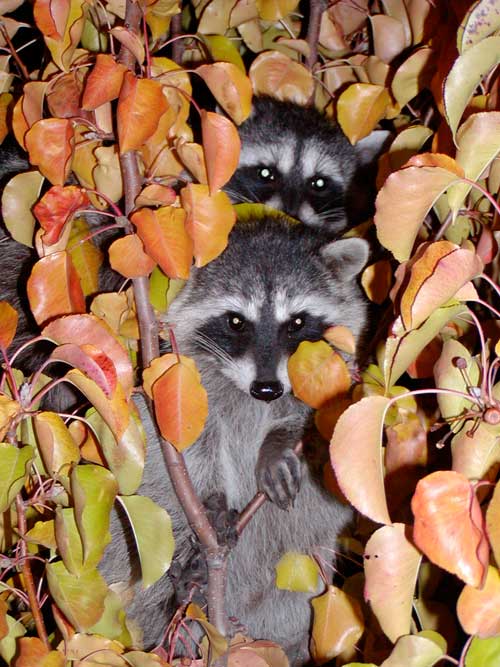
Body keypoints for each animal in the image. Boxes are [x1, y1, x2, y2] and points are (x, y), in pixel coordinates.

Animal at [100, 216, 369, 664]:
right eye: (237, 321)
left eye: (297, 323)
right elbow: (181, 446)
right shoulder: (179, 384)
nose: (267, 389)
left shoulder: (333, 371)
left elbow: (324, 421)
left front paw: (279, 442)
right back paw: (182, 586)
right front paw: (212, 500)